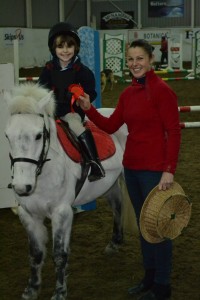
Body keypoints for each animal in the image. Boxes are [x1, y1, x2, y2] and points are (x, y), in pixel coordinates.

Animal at [4, 82, 128, 300]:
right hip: (110, 185)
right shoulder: (28, 214)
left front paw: (60, 292)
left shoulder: (61, 213)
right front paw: (31, 289)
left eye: (38, 135)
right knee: (118, 206)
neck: (44, 171)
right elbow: (35, 254)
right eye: (7, 135)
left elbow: (60, 255)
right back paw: (114, 243)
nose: (21, 187)